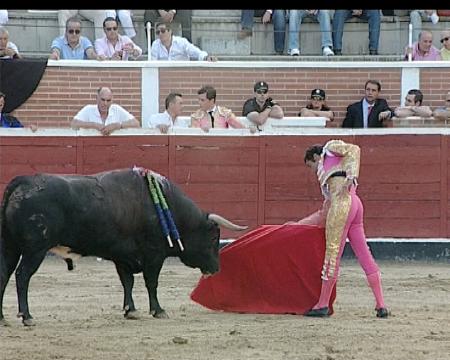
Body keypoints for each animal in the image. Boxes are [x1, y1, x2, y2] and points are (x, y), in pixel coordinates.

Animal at [0, 167, 246, 324]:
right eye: (213, 238)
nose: (216, 268)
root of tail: (23, 181)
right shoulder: (155, 255)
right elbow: (151, 282)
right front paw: (158, 310)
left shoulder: (122, 256)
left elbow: (127, 282)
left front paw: (131, 310)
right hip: (35, 250)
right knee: (22, 276)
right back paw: (27, 316)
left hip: (10, 247)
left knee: (4, 275)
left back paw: (2, 318)